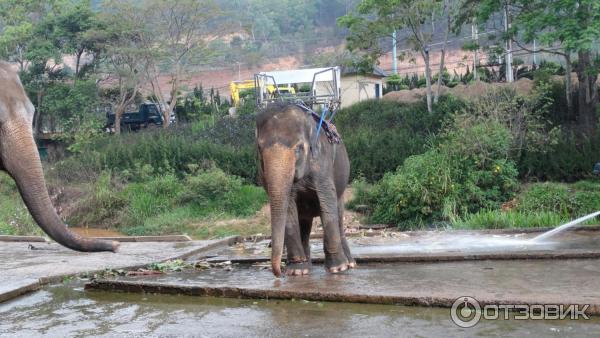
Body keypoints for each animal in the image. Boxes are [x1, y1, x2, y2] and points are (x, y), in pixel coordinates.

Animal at [255, 103, 354, 278]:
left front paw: (337, 269)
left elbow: (327, 203)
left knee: (338, 214)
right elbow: (289, 208)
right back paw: (305, 266)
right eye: (259, 148)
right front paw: (297, 271)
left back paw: (349, 264)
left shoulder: (322, 164)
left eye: (299, 148)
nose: (278, 273)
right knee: (305, 224)